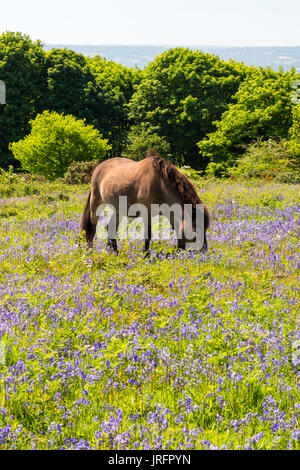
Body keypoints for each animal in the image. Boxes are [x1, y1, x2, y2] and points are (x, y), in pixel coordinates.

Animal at [81, 150, 210, 253]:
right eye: (195, 230)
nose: (204, 251)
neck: (160, 185)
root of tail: (98, 167)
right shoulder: (147, 212)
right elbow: (148, 235)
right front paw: (146, 255)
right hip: (96, 203)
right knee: (92, 227)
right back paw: (89, 251)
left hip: (118, 210)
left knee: (111, 227)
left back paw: (114, 252)